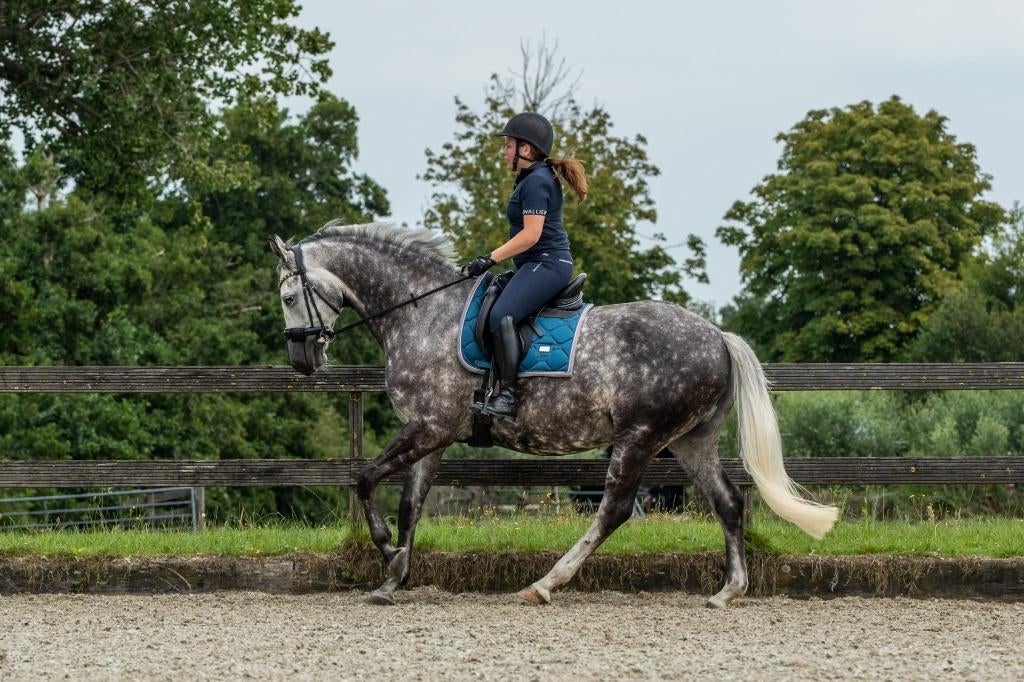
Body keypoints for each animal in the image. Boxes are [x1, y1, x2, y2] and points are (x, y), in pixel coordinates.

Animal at [270, 222, 838, 608]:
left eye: (289, 295)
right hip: (690, 440)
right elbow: (411, 503)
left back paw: (545, 584)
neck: (422, 313)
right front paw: (393, 578)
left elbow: (365, 479)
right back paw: (728, 591)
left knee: (615, 509)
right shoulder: (434, 433)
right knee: (728, 504)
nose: (302, 360)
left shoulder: (428, 427)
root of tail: (717, 336)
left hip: (639, 437)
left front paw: (387, 552)